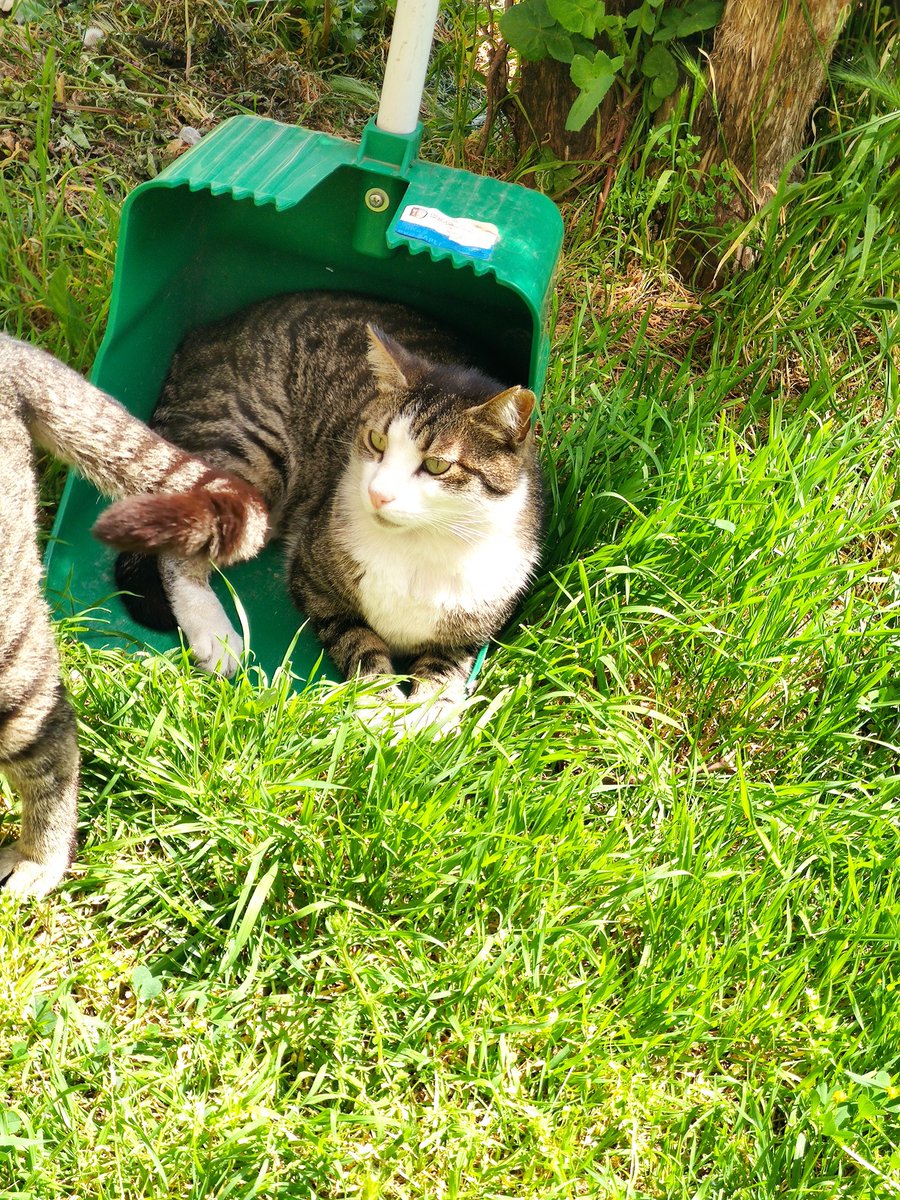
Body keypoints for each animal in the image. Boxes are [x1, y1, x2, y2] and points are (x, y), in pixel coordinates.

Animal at [117, 292, 547, 720]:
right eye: (376, 440)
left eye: (437, 465)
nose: (378, 492)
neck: (420, 547)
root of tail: (204, 336)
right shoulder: (313, 582)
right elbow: (361, 646)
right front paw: (381, 710)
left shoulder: (472, 630)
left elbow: (445, 671)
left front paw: (426, 719)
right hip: (250, 454)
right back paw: (213, 633)